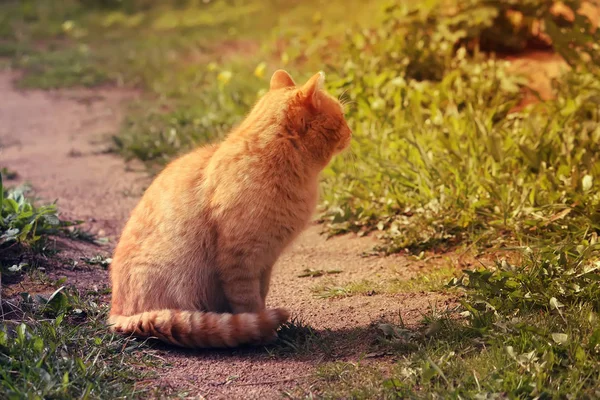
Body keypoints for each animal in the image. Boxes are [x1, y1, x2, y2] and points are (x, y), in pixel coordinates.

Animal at [108, 70, 352, 348]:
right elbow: (248, 303)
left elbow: (260, 296)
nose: (351, 131)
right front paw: (264, 333)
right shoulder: (240, 260)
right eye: (342, 115)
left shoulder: (266, 261)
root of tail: (116, 314)